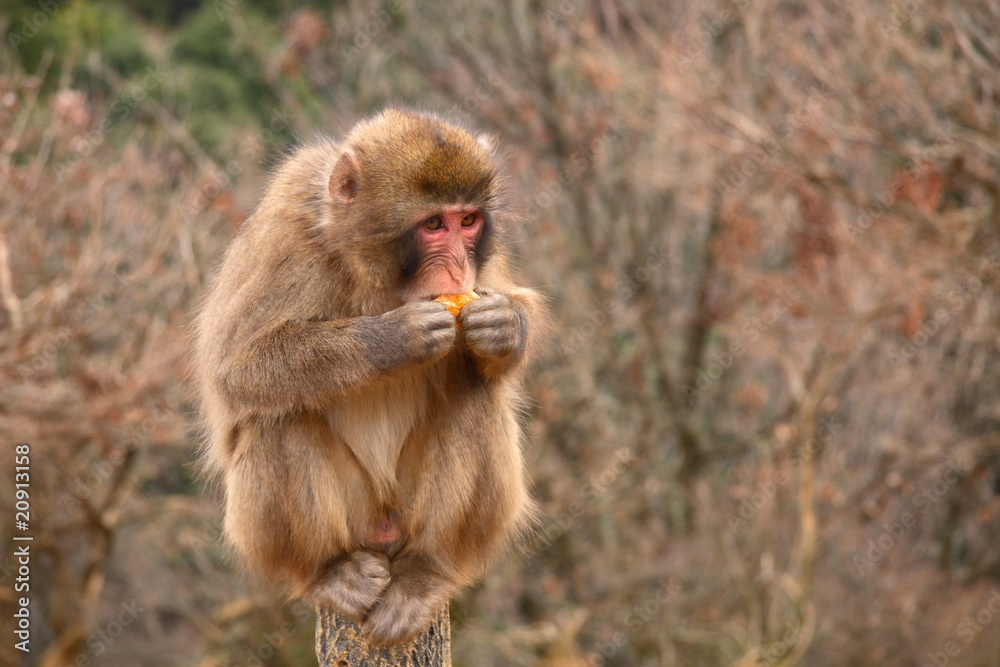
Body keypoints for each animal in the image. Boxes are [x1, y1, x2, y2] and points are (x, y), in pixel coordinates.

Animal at [194, 109, 547, 645]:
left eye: (467, 221)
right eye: (433, 224)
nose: (458, 267)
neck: (377, 278)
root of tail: (382, 527)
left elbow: (503, 313)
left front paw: (506, 325)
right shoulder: (287, 232)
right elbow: (237, 368)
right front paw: (392, 339)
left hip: (406, 510)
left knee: (476, 394)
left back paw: (427, 571)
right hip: (345, 516)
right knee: (278, 414)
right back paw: (328, 571)